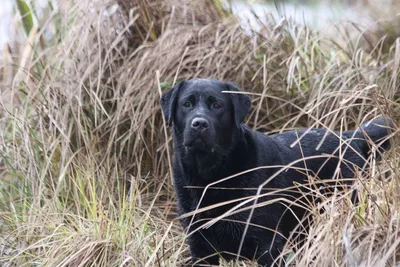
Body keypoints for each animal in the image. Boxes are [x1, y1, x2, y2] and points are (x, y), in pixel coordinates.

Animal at [160, 78, 394, 266]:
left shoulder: (268, 244)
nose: (199, 123)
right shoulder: (200, 246)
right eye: (186, 104)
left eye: (217, 105)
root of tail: (351, 136)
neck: (212, 177)